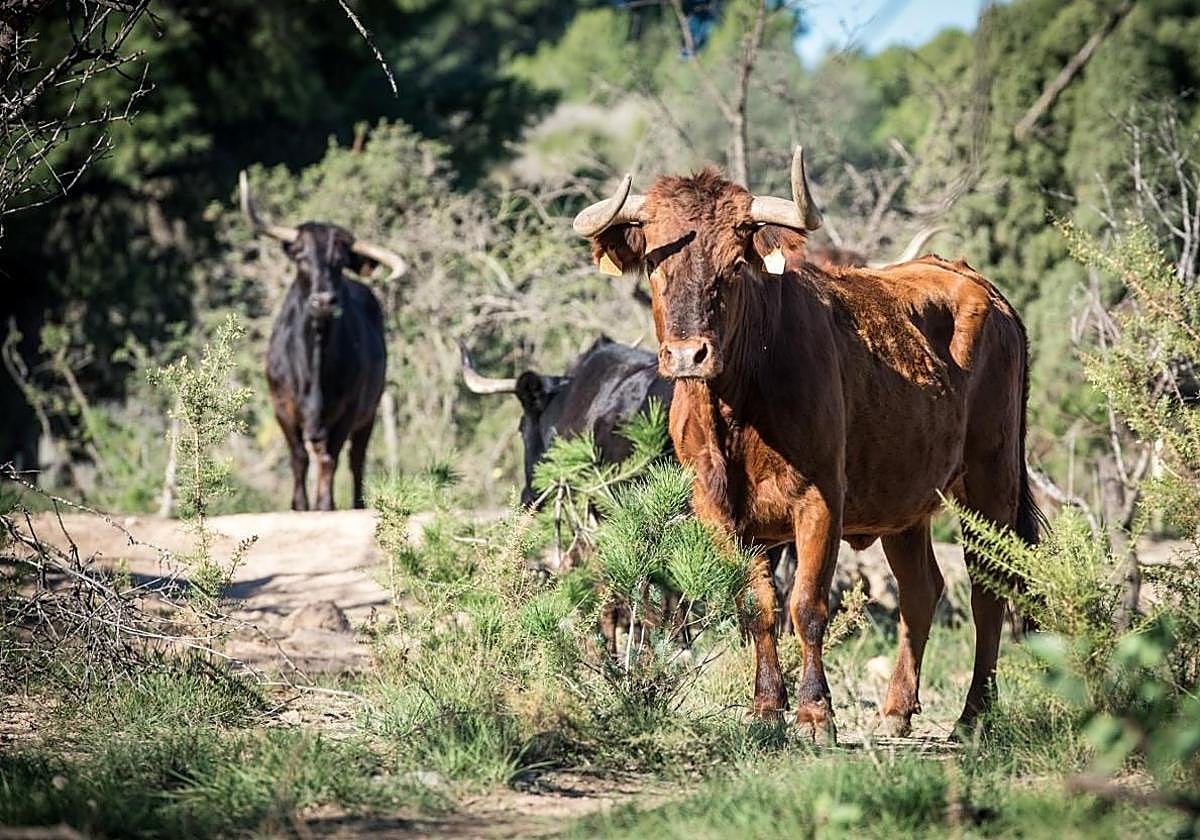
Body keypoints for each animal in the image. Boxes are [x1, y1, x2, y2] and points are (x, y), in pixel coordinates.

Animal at [239, 172, 405, 511]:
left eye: (340, 261)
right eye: (302, 257)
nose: (325, 301)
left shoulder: (349, 409)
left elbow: (332, 458)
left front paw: (325, 504)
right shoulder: (282, 407)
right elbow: (299, 457)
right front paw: (300, 505)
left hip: (370, 411)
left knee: (356, 459)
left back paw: (356, 503)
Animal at [573, 147, 1041, 742]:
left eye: (734, 264)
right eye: (656, 264)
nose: (687, 355)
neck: (737, 408)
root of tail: (981, 286)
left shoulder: (820, 502)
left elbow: (807, 605)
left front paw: (816, 712)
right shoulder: (722, 513)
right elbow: (756, 607)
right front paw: (765, 709)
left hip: (991, 481)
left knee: (989, 589)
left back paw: (973, 715)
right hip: (905, 501)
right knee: (921, 590)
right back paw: (896, 709)